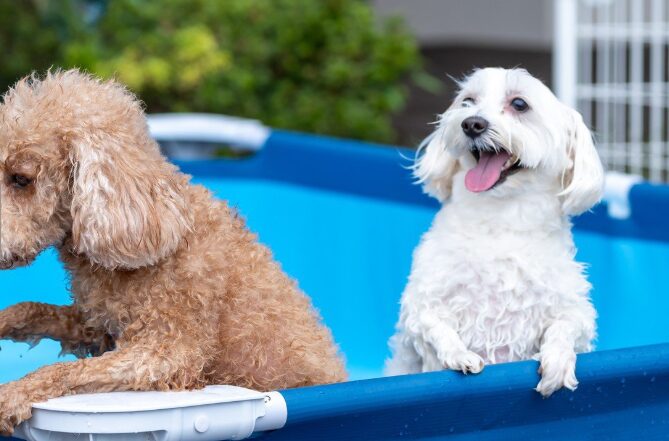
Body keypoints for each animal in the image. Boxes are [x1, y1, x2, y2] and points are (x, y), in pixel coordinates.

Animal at [0, 70, 348, 434]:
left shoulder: (170, 352)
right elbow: (30, 309)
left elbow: (66, 370)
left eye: (21, 179)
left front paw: (11, 394)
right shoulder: (100, 324)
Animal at [384, 68, 604, 396]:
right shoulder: (421, 305)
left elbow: (566, 327)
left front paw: (558, 360)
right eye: (468, 101)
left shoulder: (575, 311)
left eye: (520, 104)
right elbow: (434, 325)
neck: (499, 222)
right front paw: (459, 355)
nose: (471, 123)